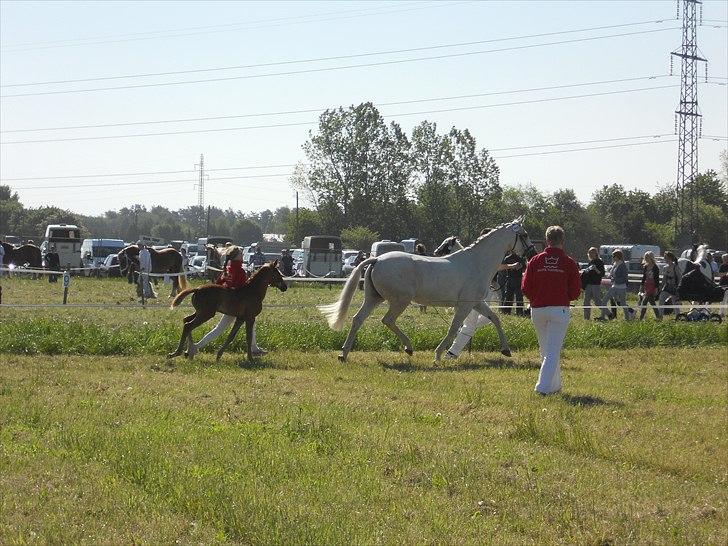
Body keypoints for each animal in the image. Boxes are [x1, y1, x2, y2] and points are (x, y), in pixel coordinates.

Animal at [318, 217, 536, 362]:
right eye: (524, 235)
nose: (531, 253)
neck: (476, 263)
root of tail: (377, 259)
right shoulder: (465, 306)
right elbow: (454, 328)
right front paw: (438, 354)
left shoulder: (476, 303)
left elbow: (495, 319)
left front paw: (506, 350)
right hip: (400, 301)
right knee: (387, 320)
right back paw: (408, 347)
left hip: (374, 298)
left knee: (358, 319)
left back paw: (343, 354)